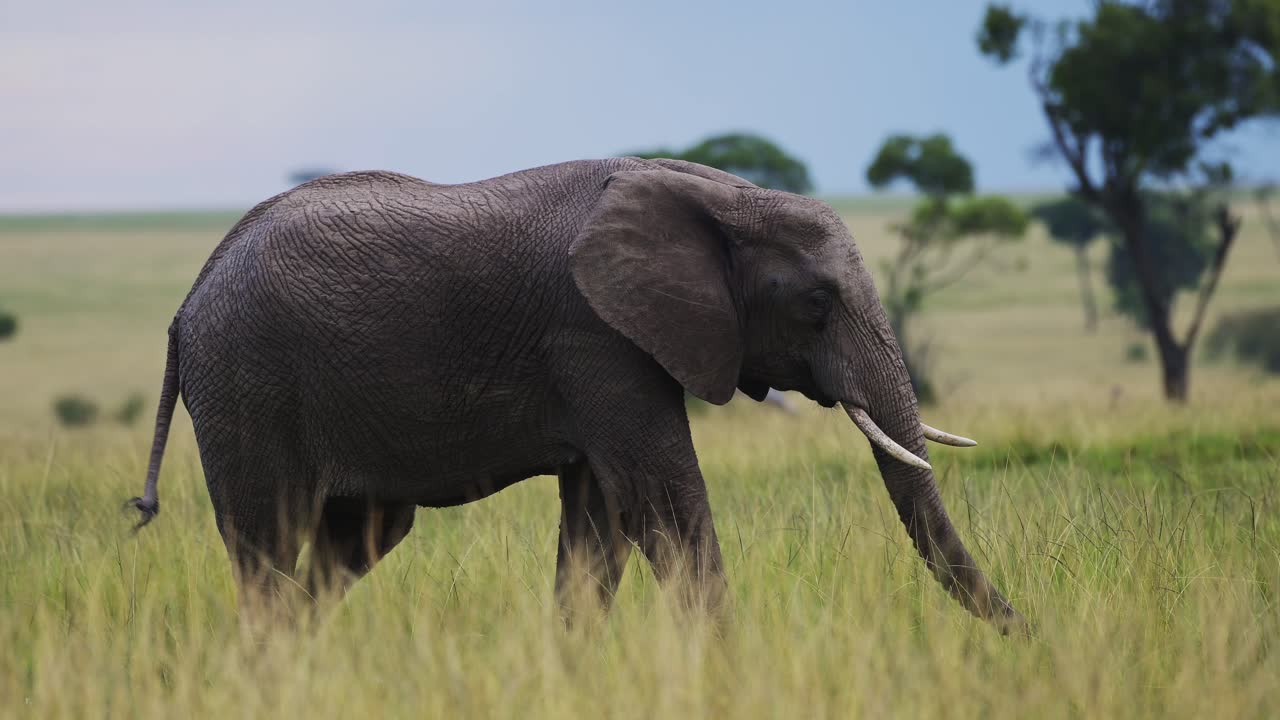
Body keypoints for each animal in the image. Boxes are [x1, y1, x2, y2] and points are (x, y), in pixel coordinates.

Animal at [126, 156, 1026, 634]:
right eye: (816, 303)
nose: (1027, 631)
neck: (717, 192)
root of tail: (183, 305)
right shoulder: (596, 338)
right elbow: (663, 501)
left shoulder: (607, 360)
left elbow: (602, 521)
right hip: (248, 387)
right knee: (268, 547)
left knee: (353, 542)